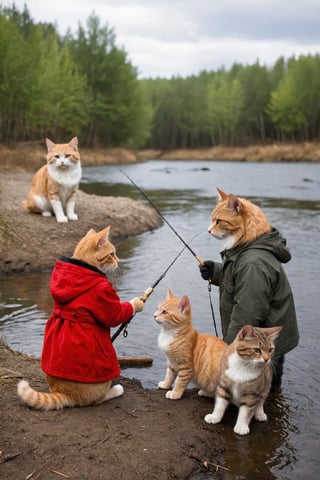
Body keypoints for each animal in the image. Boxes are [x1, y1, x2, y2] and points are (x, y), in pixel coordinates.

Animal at [16, 225, 144, 408]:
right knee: (97, 400)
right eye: (112, 254)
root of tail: (65, 393)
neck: (83, 266)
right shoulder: (104, 296)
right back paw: (115, 390)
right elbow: (117, 314)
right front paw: (136, 303)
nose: (119, 261)